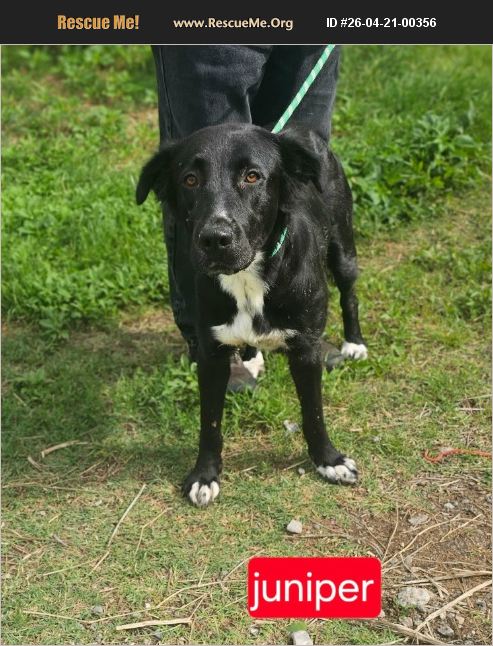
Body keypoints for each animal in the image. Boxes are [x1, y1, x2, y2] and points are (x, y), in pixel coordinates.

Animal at [136, 123, 367, 507]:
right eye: (189, 180)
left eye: (252, 176)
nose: (215, 239)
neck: (247, 278)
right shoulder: (211, 355)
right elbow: (210, 421)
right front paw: (204, 475)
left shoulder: (305, 350)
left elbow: (313, 413)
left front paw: (329, 461)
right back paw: (253, 356)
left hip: (343, 248)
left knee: (350, 295)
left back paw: (354, 343)